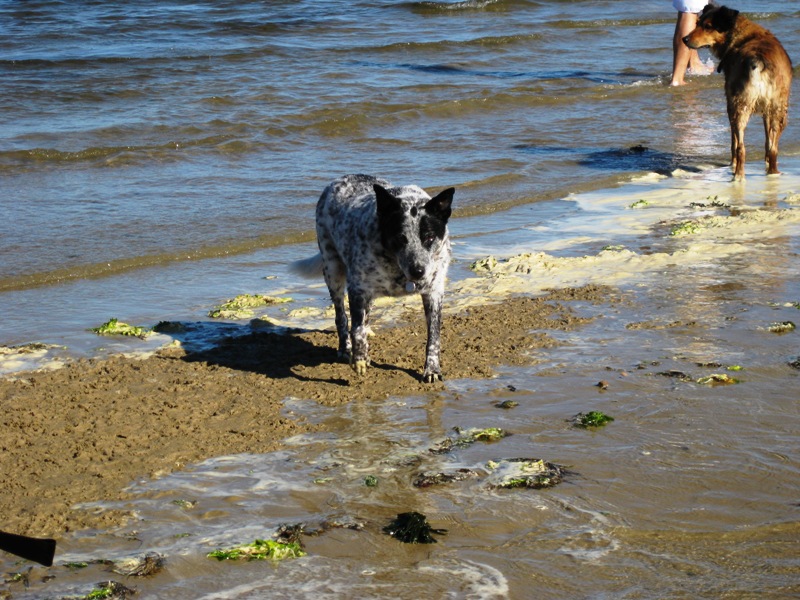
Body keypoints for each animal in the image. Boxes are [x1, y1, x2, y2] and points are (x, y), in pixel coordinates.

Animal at [292, 175, 456, 380]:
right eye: (400, 238)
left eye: (430, 238)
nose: (418, 271)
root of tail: (340, 179)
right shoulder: (357, 287)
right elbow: (356, 329)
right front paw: (360, 358)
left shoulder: (434, 291)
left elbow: (434, 335)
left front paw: (432, 369)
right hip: (332, 269)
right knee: (342, 317)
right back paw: (346, 348)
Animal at [680, 4, 792, 179]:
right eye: (697, 23)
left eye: (708, 27)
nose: (684, 39)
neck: (739, 34)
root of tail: (759, 62)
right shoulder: (767, 110)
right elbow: (768, 141)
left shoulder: (730, 101)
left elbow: (733, 142)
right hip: (777, 107)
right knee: (773, 148)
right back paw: (772, 172)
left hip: (738, 105)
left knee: (740, 147)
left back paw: (737, 175)